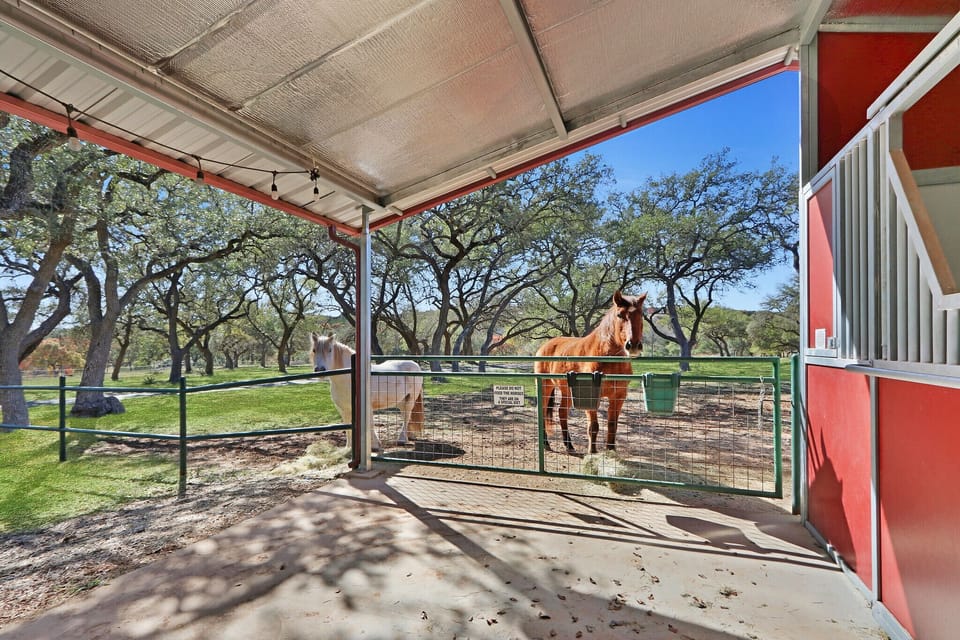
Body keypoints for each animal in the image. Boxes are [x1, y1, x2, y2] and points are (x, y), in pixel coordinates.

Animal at [534, 290, 646, 454]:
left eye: (641, 314)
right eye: (620, 315)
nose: (633, 345)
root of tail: (545, 345)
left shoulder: (618, 396)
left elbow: (612, 425)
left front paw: (611, 451)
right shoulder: (590, 395)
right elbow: (593, 427)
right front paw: (592, 452)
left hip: (567, 391)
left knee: (562, 412)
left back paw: (569, 445)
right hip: (545, 387)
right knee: (542, 412)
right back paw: (546, 444)